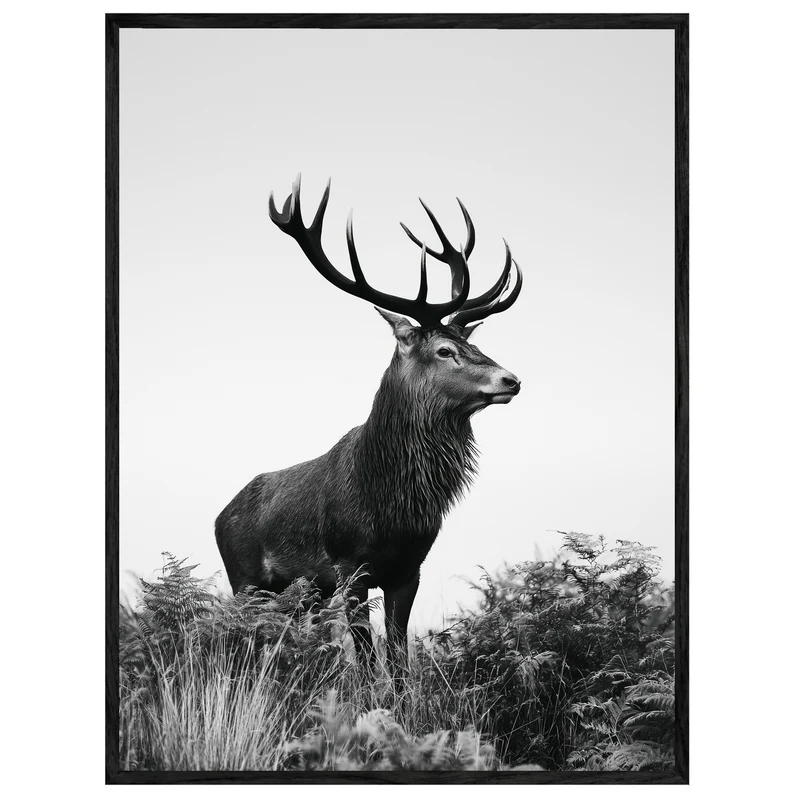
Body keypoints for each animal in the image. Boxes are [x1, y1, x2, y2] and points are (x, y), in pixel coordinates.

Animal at [215, 174, 523, 667]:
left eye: (473, 344)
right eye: (445, 350)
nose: (511, 379)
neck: (389, 504)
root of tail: (219, 516)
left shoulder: (409, 569)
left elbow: (397, 655)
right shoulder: (350, 567)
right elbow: (363, 657)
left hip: (301, 594)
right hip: (244, 579)